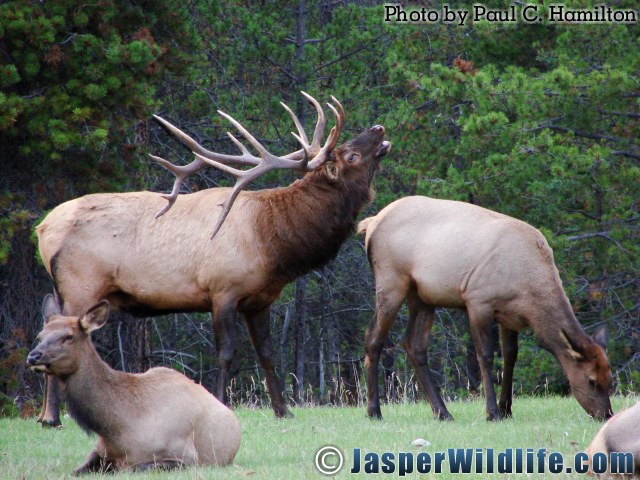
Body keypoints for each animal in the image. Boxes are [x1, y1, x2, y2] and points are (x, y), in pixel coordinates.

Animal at [27, 294, 241, 474]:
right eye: (40, 336)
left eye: (68, 336)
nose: (33, 356)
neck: (116, 428)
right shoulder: (99, 451)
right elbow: (75, 471)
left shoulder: (186, 458)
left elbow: (136, 467)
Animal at [35, 92, 391, 426]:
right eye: (350, 154)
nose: (378, 128)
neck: (273, 243)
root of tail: (42, 229)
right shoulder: (222, 291)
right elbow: (226, 354)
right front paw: (222, 404)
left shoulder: (260, 300)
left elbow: (266, 353)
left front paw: (283, 410)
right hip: (80, 286)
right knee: (58, 329)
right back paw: (51, 417)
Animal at [357, 195, 613, 421]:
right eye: (591, 380)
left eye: (609, 379)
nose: (606, 414)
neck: (529, 291)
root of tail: (371, 222)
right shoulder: (478, 301)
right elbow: (486, 356)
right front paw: (492, 412)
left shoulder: (510, 316)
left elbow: (510, 356)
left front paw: (507, 408)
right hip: (391, 282)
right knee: (373, 338)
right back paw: (374, 411)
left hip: (422, 296)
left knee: (414, 344)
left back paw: (442, 412)